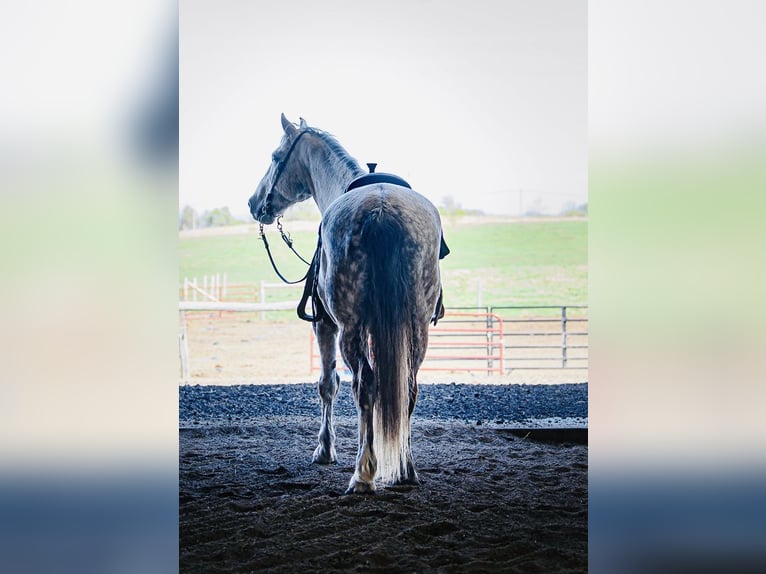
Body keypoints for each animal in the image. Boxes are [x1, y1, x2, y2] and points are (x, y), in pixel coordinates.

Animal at [248, 114, 445, 494]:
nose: (254, 203)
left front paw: (325, 450)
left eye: (276, 156)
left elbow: (328, 383)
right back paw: (406, 470)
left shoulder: (324, 324)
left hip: (350, 330)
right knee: (408, 388)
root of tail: (382, 212)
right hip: (416, 327)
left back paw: (363, 474)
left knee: (364, 386)